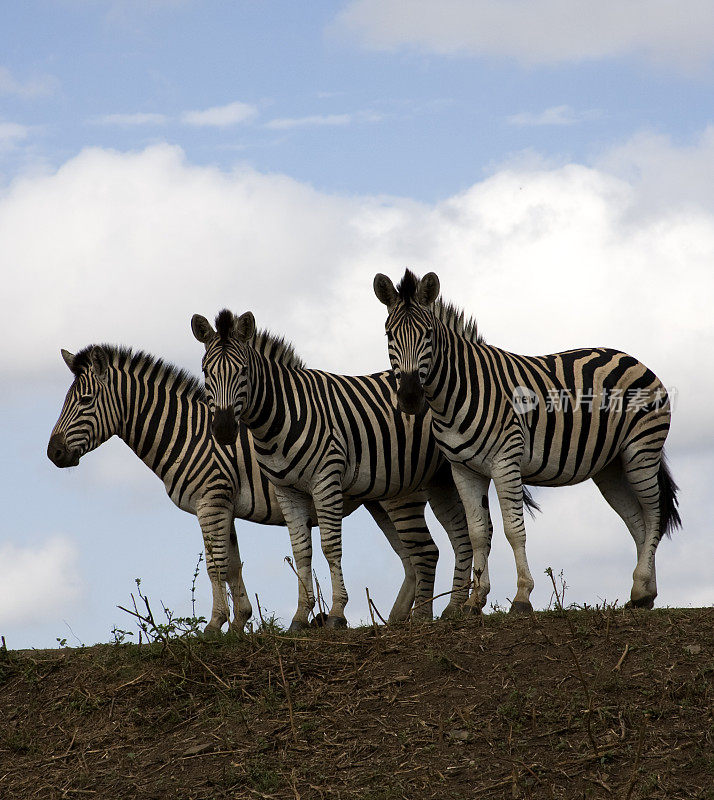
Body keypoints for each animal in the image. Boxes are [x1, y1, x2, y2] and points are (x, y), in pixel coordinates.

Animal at [46, 342, 444, 632]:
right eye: (64, 401)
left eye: (84, 401)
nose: (53, 453)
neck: (186, 434)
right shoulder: (223, 506)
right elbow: (234, 564)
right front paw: (239, 623)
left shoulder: (211, 502)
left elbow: (215, 566)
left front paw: (215, 625)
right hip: (379, 500)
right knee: (410, 559)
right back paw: (396, 621)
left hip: (400, 497)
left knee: (424, 553)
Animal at [192, 310, 476, 628]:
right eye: (206, 372)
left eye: (242, 371)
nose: (224, 430)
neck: (281, 414)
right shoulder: (287, 491)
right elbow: (301, 552)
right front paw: (300, 617)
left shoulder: (326, 479)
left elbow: (330, 546)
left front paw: (337, 614)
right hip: (440, 479)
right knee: (461, 533)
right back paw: (454, 607)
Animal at [372, 268, 680, 612]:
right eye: (389, 335)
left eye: (428, 335)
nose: (410, 397)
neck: (457, 392)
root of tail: (632, 358)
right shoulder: (463, 469)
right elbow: (478, 532)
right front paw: (474, 601)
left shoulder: (505, 462)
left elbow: (513, 530)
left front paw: (521, 597)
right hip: (610, 467)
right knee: (637, 522)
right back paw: (643, 594)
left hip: (640, 451)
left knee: (654, 513)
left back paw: (642, 588)